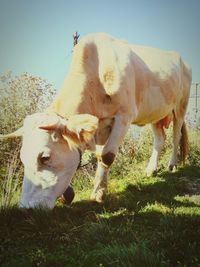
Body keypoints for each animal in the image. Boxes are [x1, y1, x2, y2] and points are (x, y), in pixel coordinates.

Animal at [0, 33, 192, 209]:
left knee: (175, 136)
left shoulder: (124, 116)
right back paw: (151, 169)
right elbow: (100, 154)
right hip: (156, 112)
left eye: (45, 157)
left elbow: (107, 156)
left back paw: (172, 164)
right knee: (160, 139)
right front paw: (94, 189)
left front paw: (98, 193)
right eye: (22, 157)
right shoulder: (101, 123)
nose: (26, 208)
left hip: (180, 106)